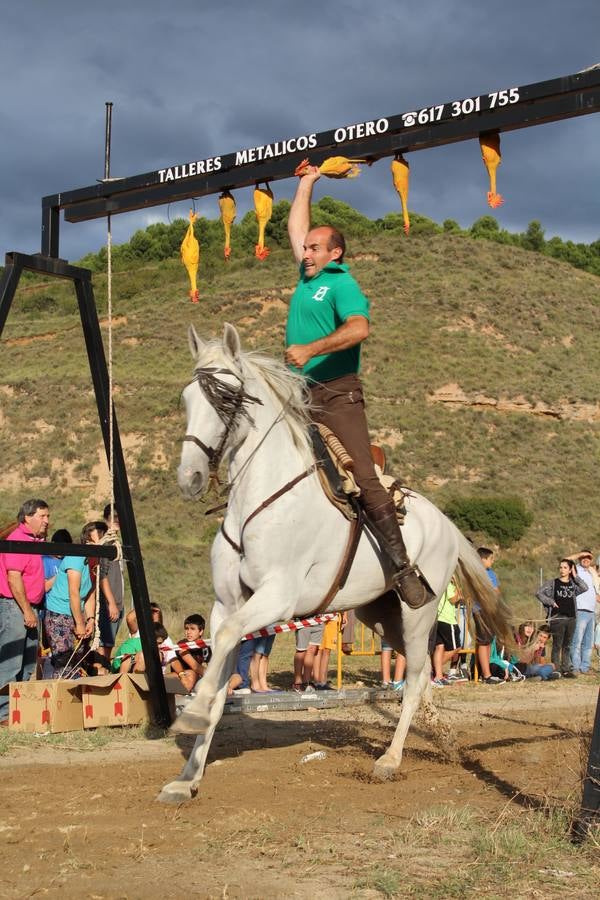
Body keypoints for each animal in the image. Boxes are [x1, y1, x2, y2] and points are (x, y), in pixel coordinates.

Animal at [157, 324, 508, 800]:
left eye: (227, 398)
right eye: (187, 398)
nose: (190, 478)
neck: (257, 501)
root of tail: (446, 523)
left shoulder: (276, 599)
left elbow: (225, 647)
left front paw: (189, 713)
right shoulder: (226, 604)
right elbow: (220, 665)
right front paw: (187, 777)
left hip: (417, 614)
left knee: (417, 677)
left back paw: (390, 760)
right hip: (382, 616)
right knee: (417, 678)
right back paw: (442, 737)